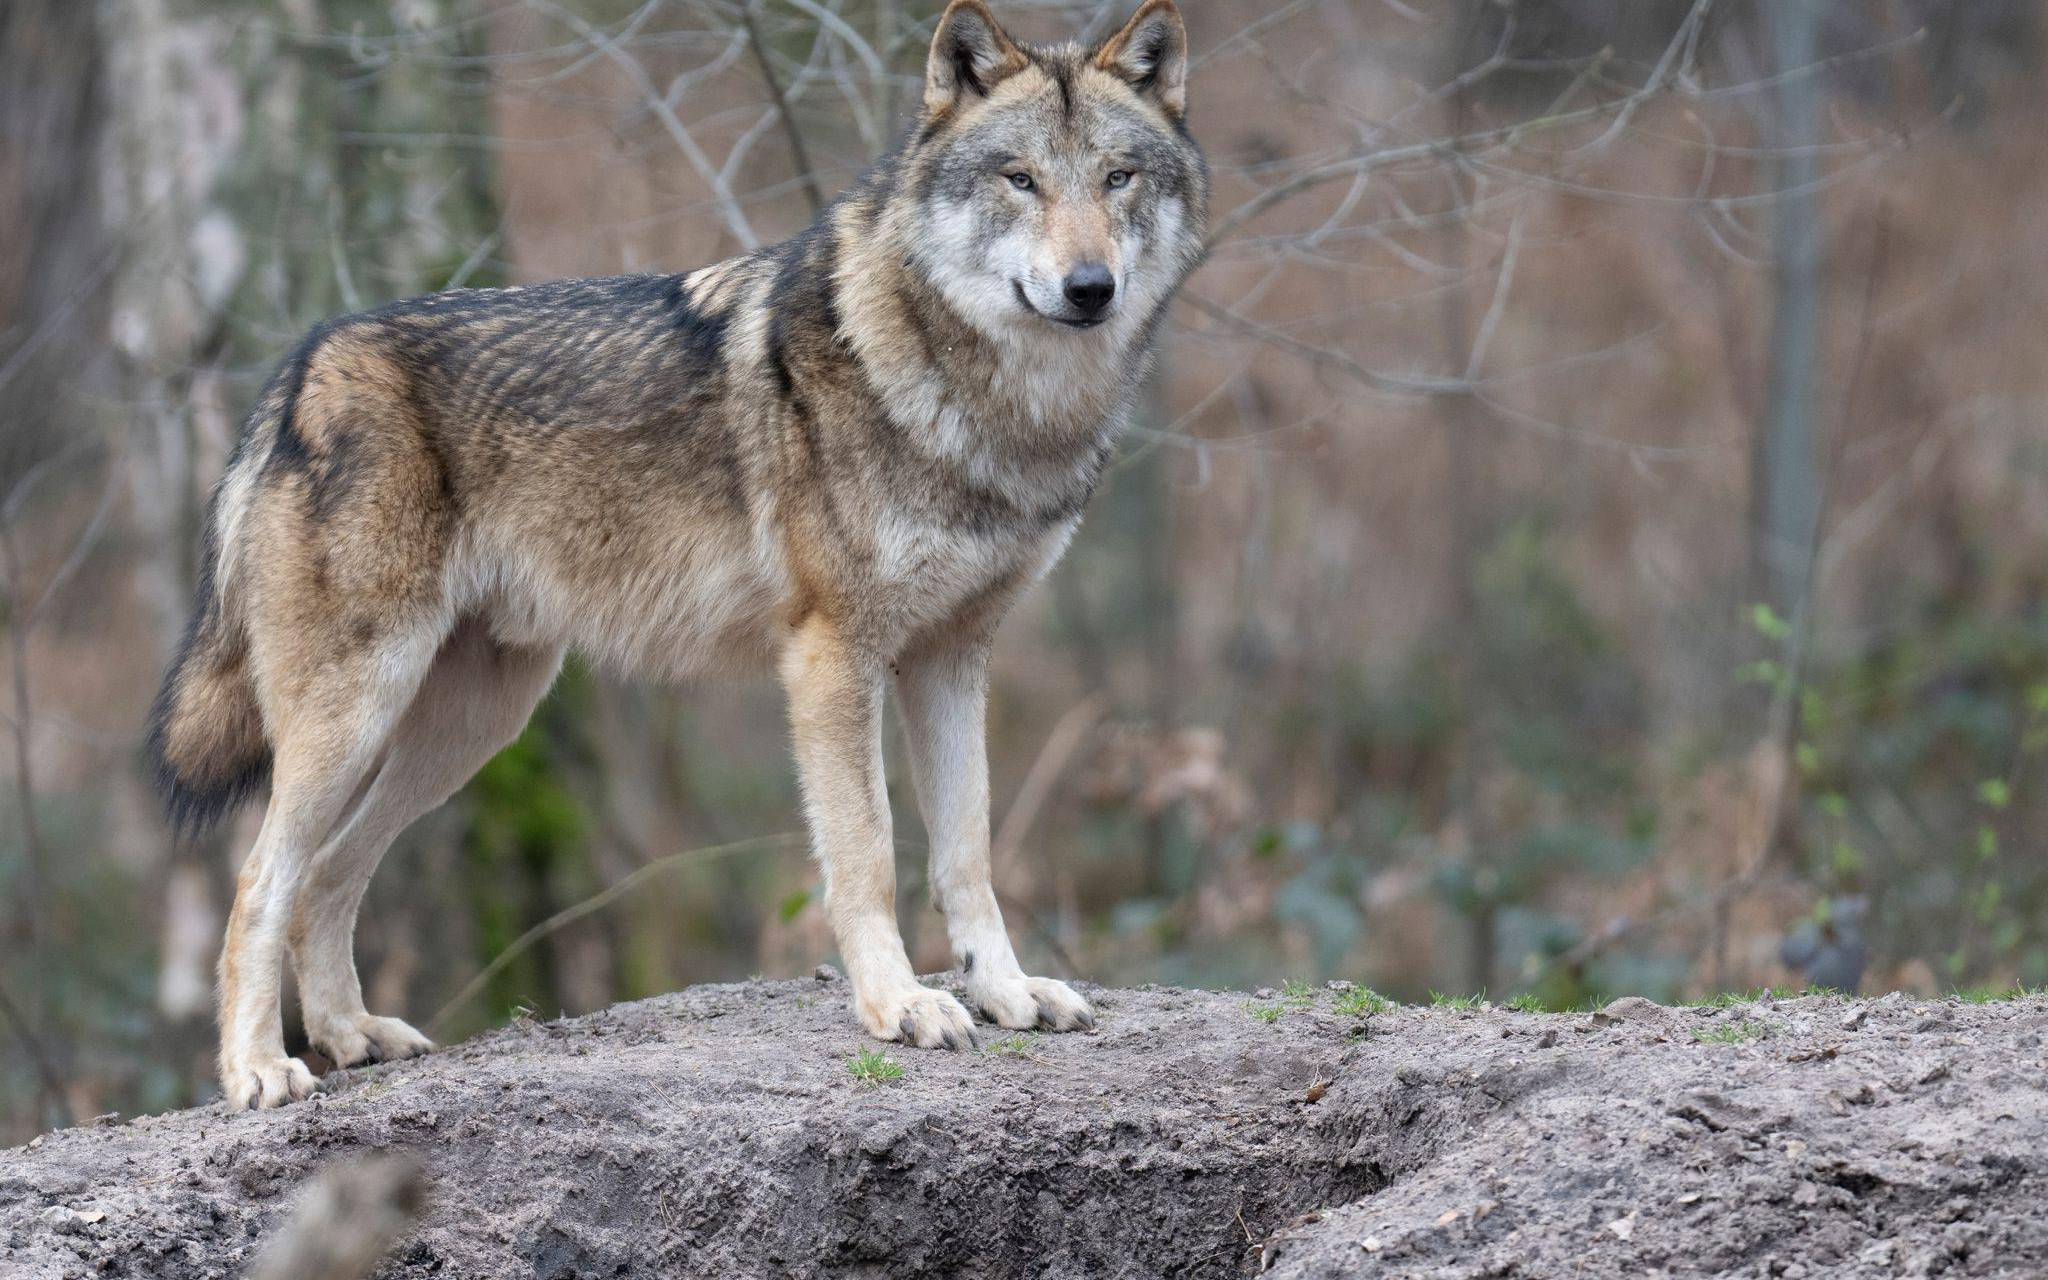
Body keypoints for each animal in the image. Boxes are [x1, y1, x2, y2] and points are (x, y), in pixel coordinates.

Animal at [147, 0, 1207, 1110]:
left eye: (1116, 178)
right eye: (1020, 179)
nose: (1089, 288)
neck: (993, 411)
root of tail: (300, 366)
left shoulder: (952, 660)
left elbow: (967, 853)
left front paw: (1005, 992)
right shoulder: (833, 657)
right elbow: (869, 852)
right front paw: (899, 1005)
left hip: (468, 725)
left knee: (328, 874)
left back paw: (353, 1035)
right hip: (359, 714)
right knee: (260, 880)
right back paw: (257, 1069)